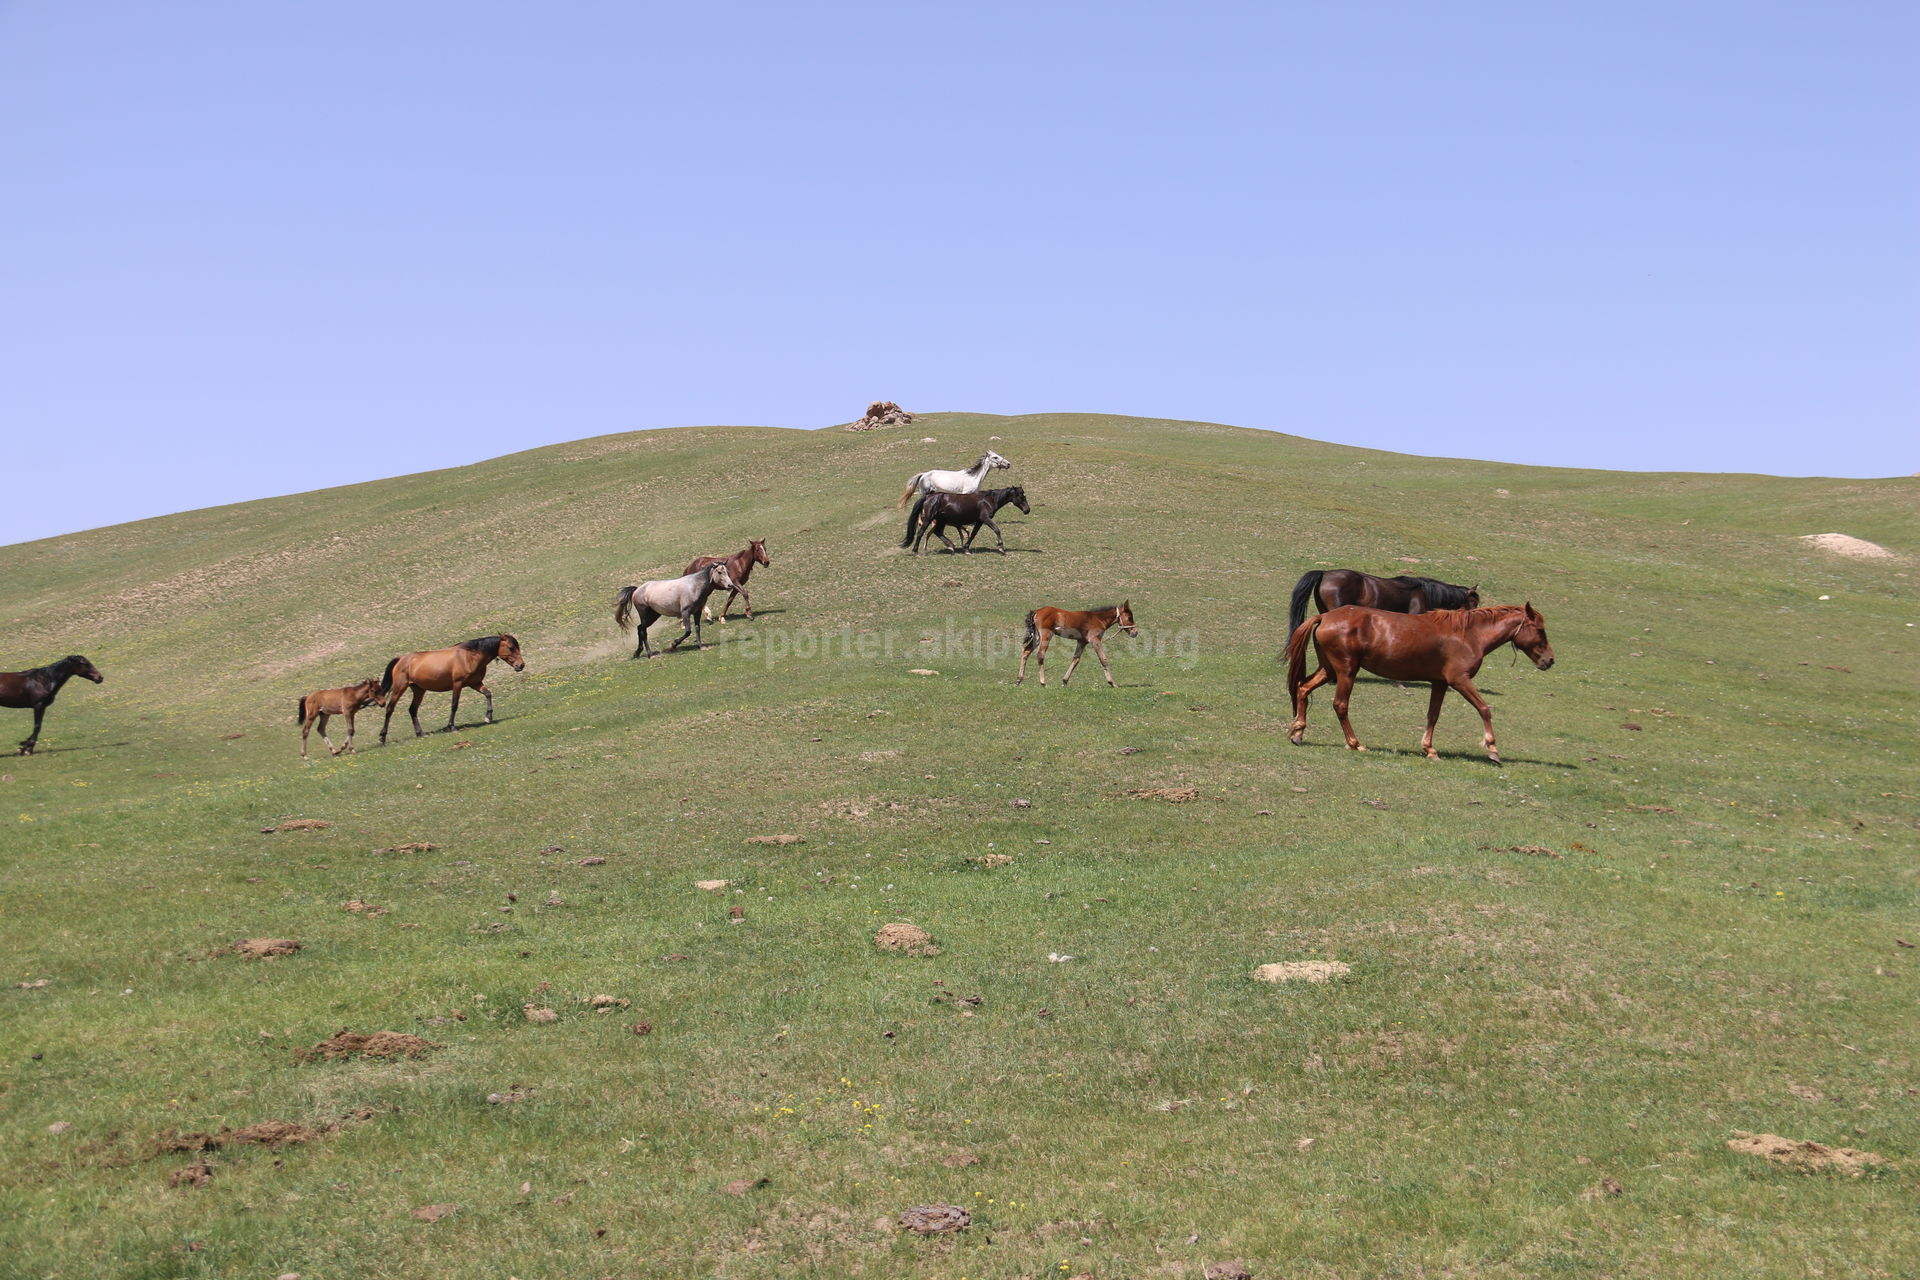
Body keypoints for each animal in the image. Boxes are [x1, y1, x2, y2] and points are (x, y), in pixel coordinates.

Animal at [376, 637, 526, 744]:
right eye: (511, 647)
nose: (521, 665)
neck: (469, 656)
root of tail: (401, 659)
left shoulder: (475, 683)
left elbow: (488, 694)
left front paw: (488, 717)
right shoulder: (457, 684)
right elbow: (454, 705)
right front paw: (451, 726)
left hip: (419, 690)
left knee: (412, 710)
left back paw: (420, 733)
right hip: (399, 688)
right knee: (390, 709)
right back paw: (382, 737)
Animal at [902, 485, 1036, 556]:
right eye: (1021, 496)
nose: (1027, 510)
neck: (988, 500)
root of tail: (929, 496)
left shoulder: (979, 521)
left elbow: (972, 534)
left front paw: (966, 549)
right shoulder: (985, 518)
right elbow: (997, 530)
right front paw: (1001, 548)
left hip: (941, 521)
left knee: (938, 532)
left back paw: (951, 546)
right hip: (929, 518)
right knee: (921, 532)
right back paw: (915, 551)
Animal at [1282, 606, 1551, 767]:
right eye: (1540, 630)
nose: (1550, 660)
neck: (1468, 635)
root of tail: (1324, 616)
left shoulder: (1440, 683)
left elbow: (1433, 715)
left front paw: (1429, 749)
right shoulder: (1459, 680)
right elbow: (1484, 709)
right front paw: (1493, 749)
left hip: (1329, 670)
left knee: (1303, 688)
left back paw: (1298, 733)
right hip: (1346, 672)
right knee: (1340, 705)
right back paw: (1355, 743)